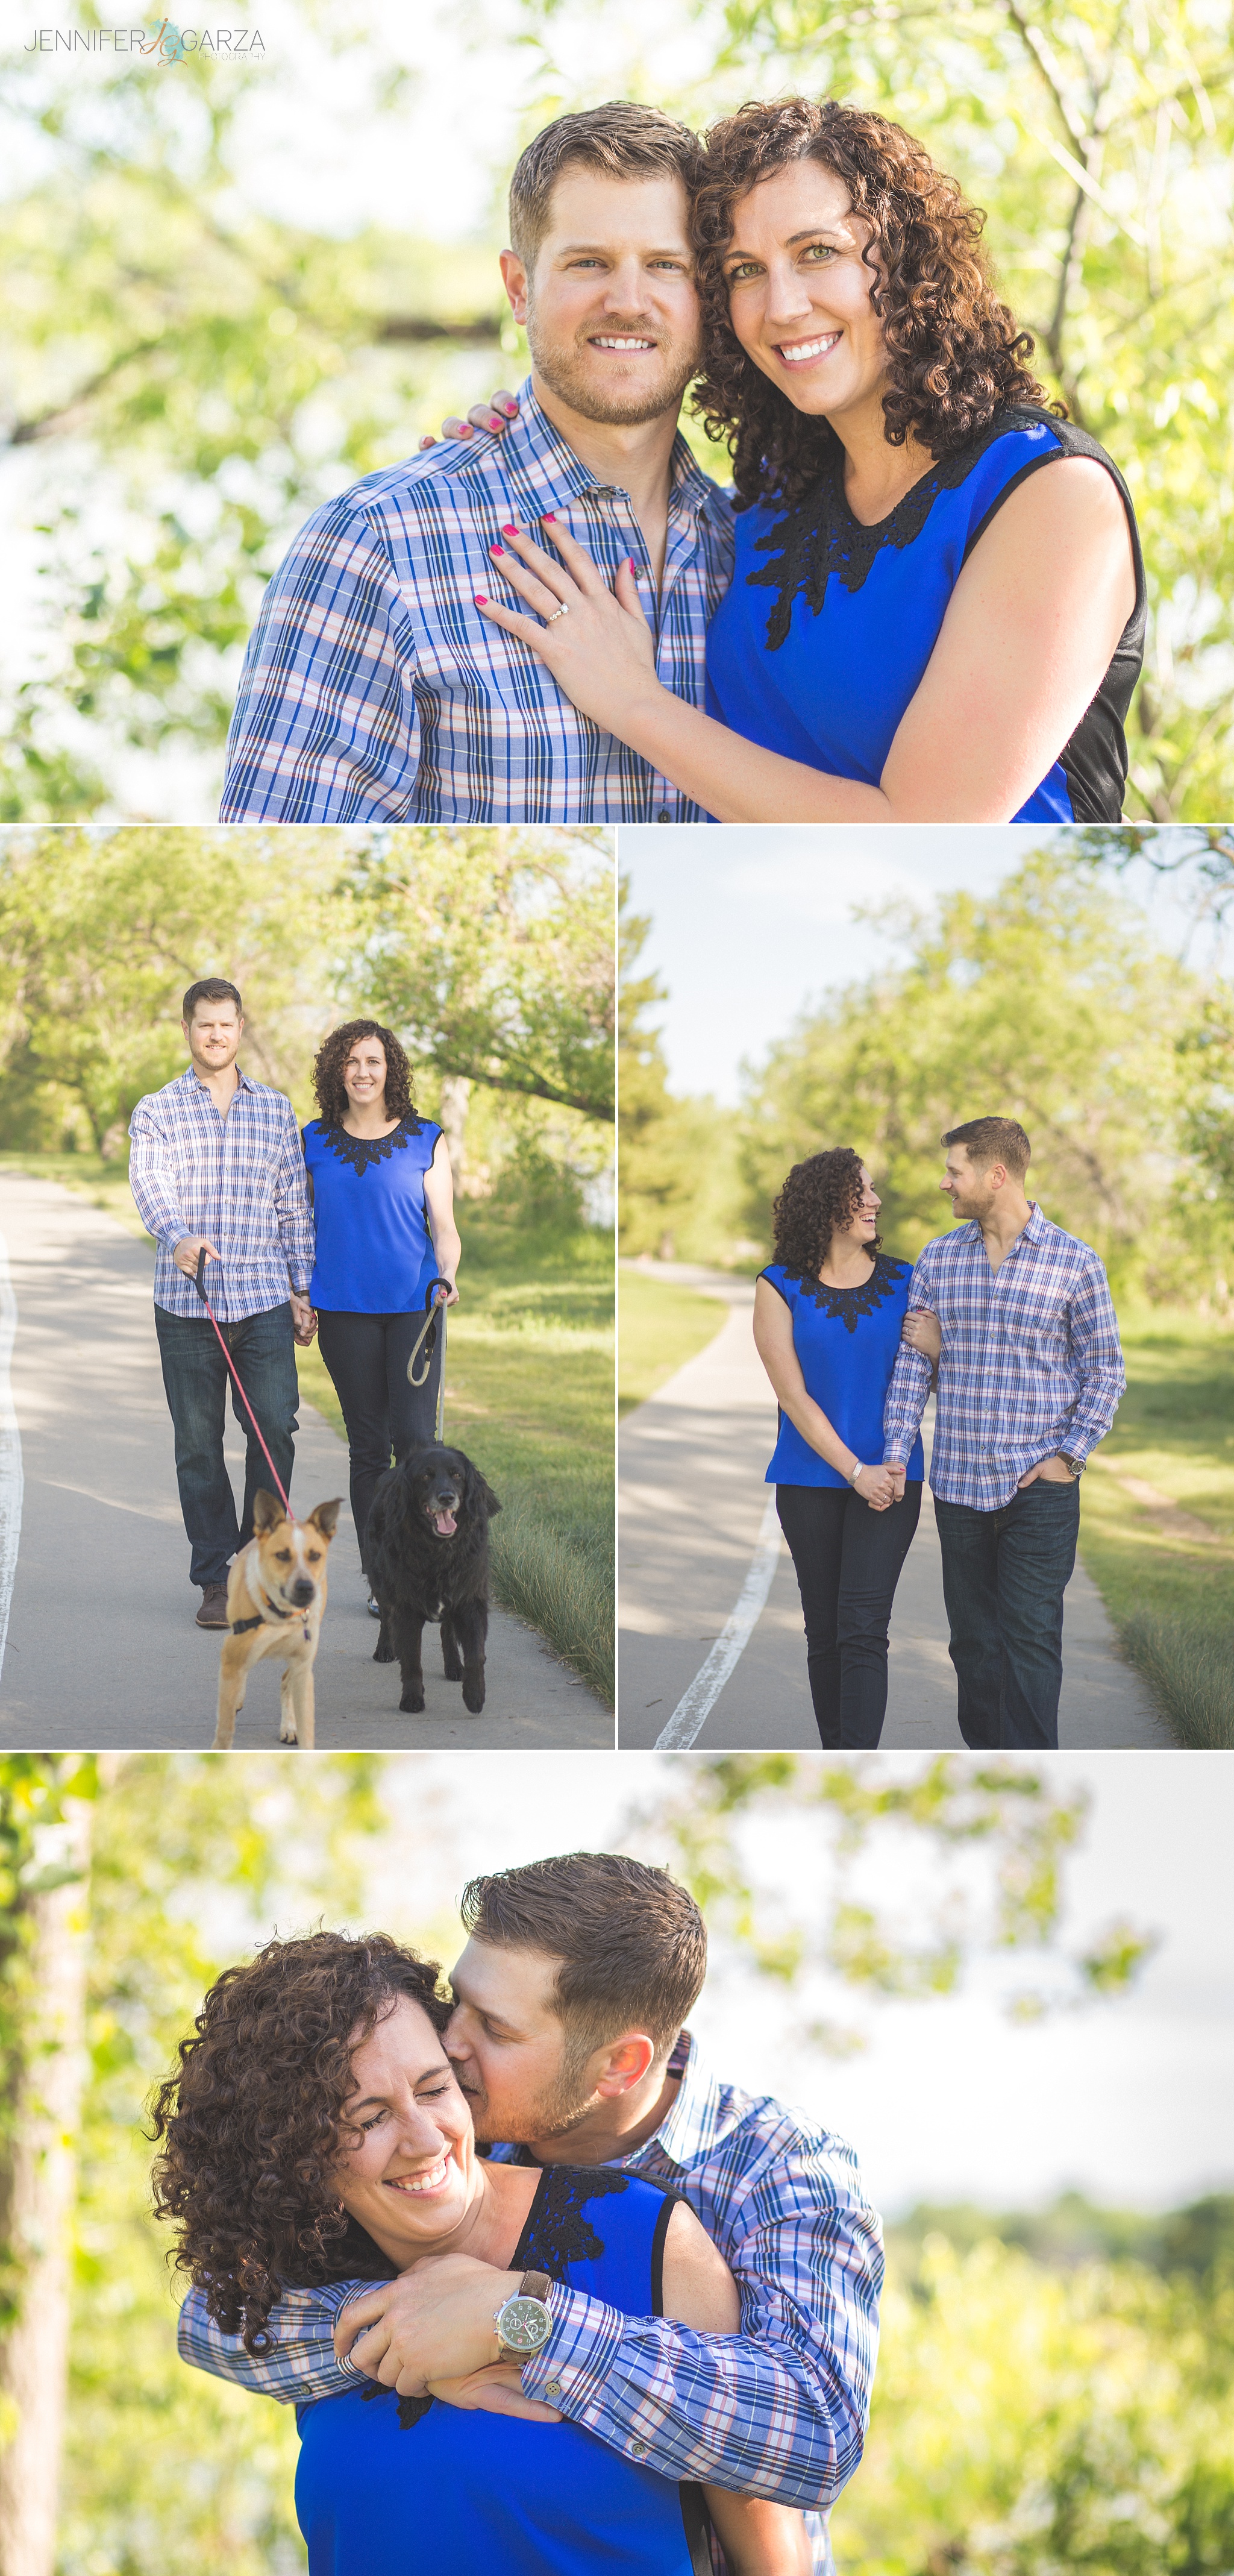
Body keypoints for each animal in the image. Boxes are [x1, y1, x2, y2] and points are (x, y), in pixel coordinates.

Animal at [213, 1494, 342, 1751]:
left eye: (315, 1556)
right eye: (282, 1555)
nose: (306, 1588)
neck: (281, 1615)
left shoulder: (303, 1667)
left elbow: (307, 1727)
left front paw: (296, 1730)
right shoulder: (233, 1655)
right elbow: (225, 1728)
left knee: (285, 1681)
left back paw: (289, 1727)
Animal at [366, 1453, 502, 1710]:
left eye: (457, 1474)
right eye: (425, 1476)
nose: (447, 1498)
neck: (440, 1551)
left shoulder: (470, 1600)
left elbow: (476, 1653)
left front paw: (475, 1695)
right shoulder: (406, 1605)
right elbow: (412, 1660)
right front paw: (412, 1699)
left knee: (447, 1630)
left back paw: (454, 1666)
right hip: (381, 1580)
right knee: (386, 1616)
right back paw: (385, 1648)